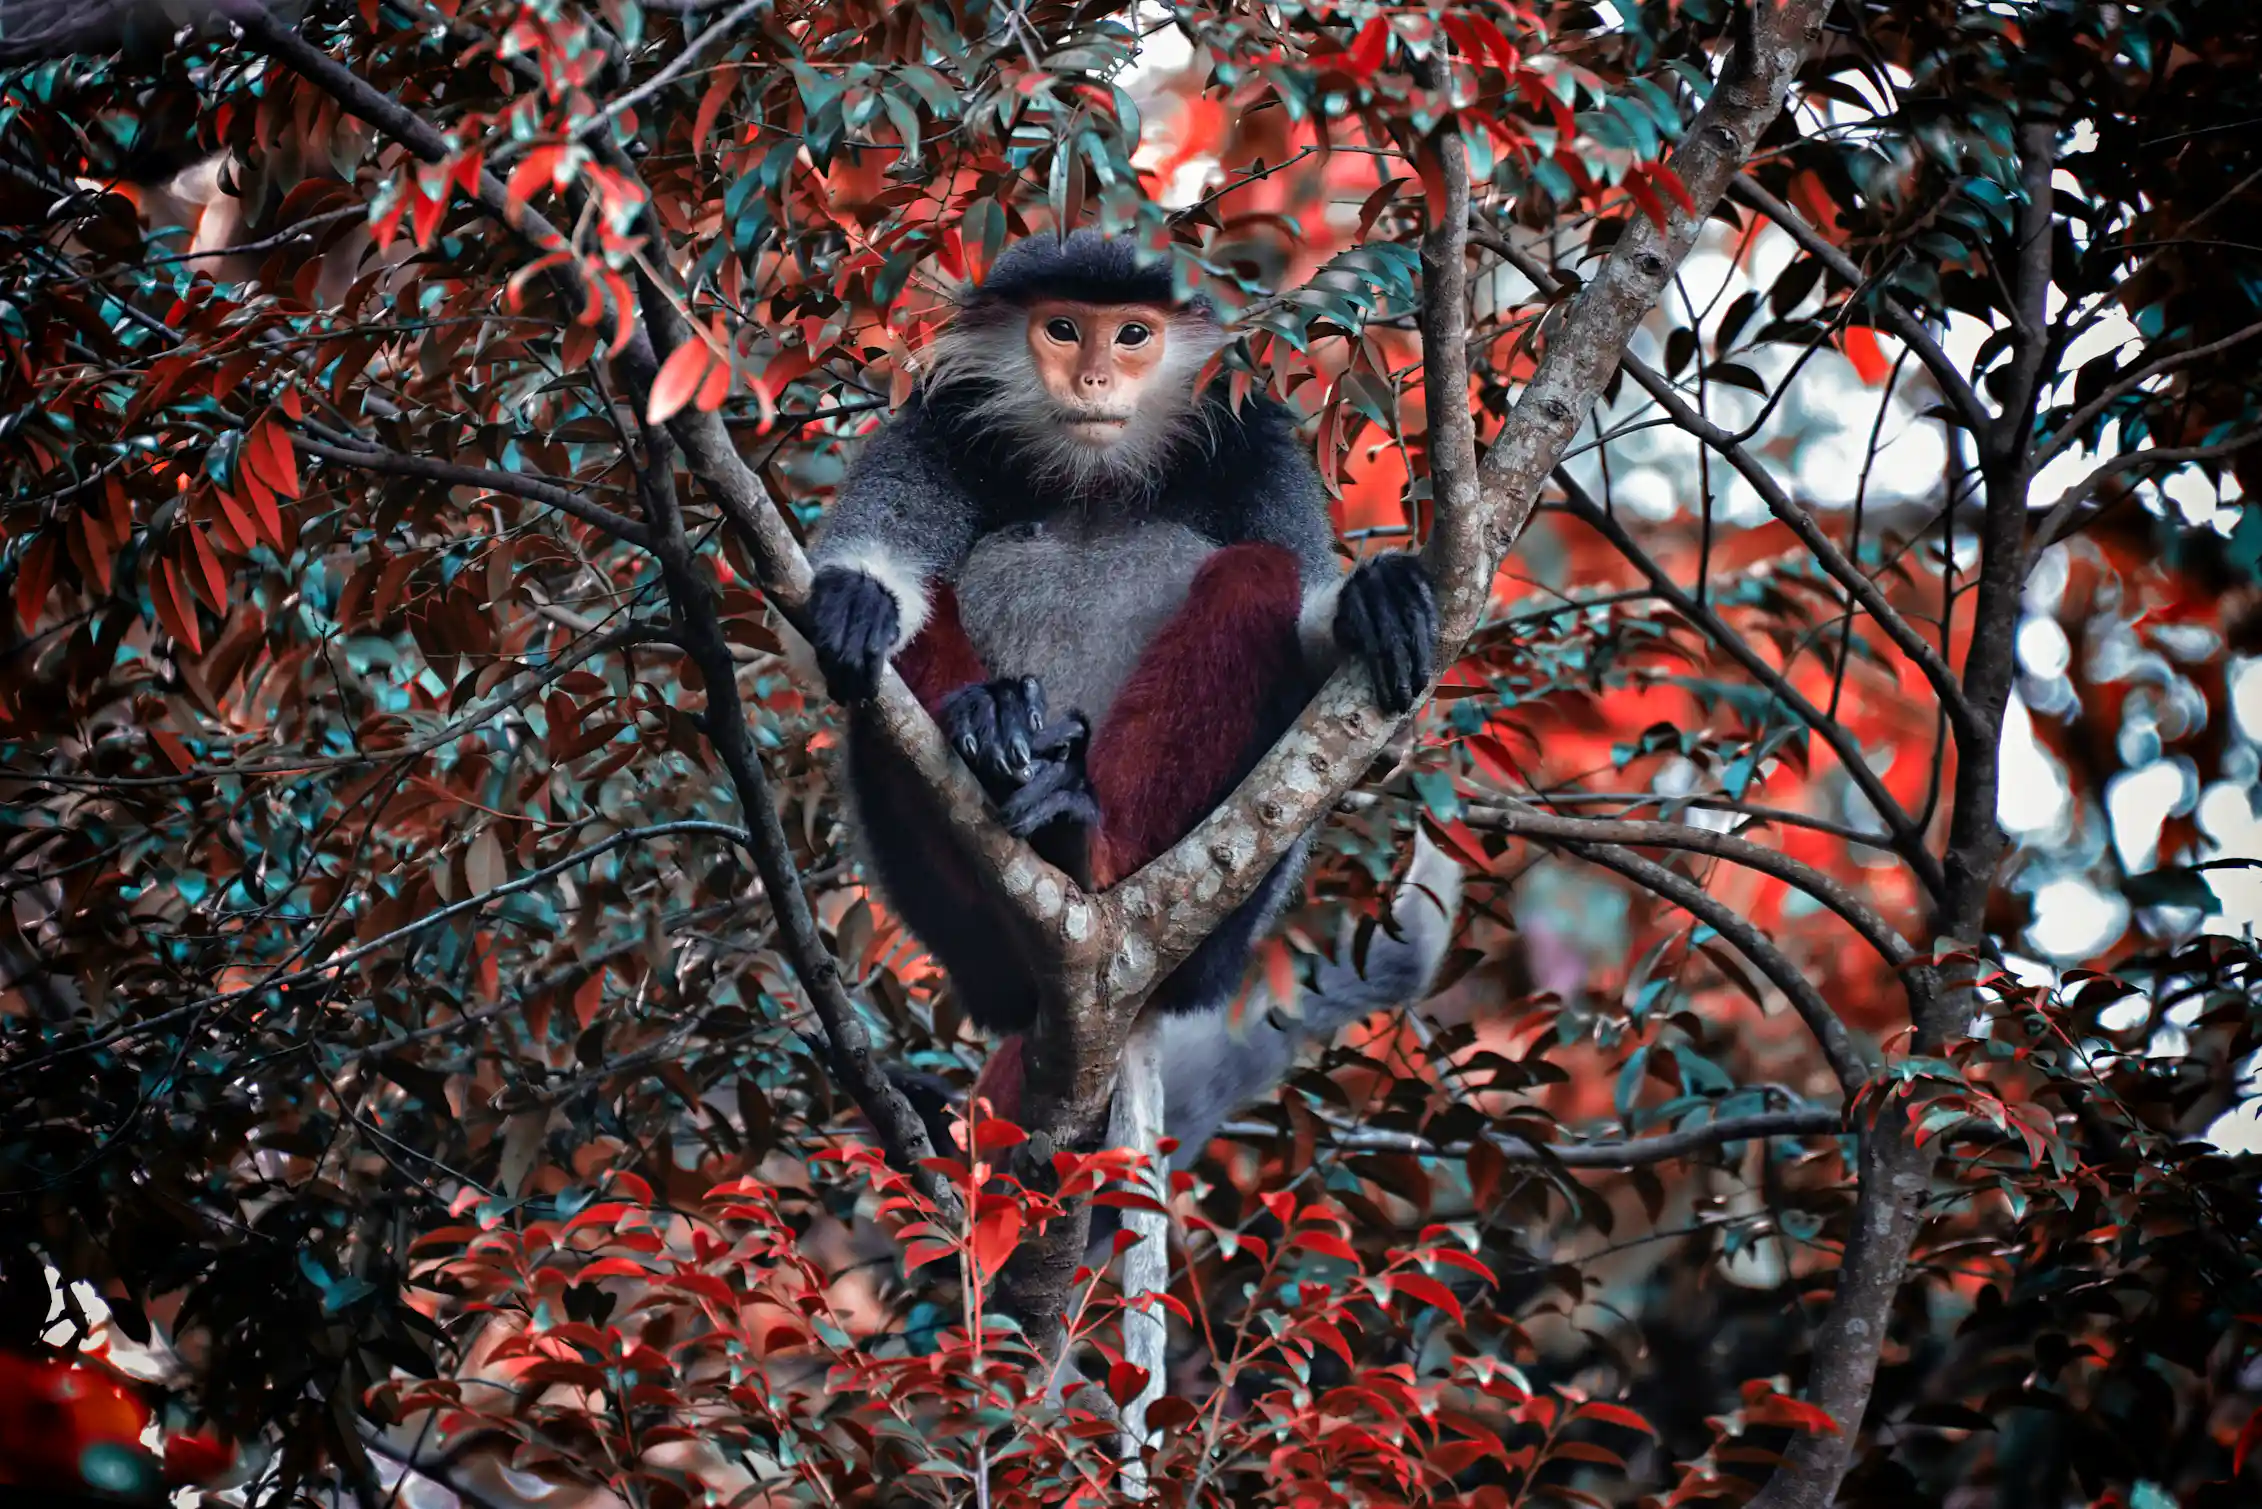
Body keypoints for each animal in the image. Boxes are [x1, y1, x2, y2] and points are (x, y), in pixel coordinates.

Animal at [799, 229, 1447, 1134]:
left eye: (1133, 334)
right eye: (1063, 330)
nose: (1094, 379)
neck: (1095, 478)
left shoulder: (1252, 440)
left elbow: (1304, 599)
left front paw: (1366, 605)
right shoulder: (940, 421)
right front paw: (862, 599)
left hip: (1223, 932)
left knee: (1257, 572)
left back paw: (1081, 835)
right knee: (930, 610)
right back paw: (1000, 733)